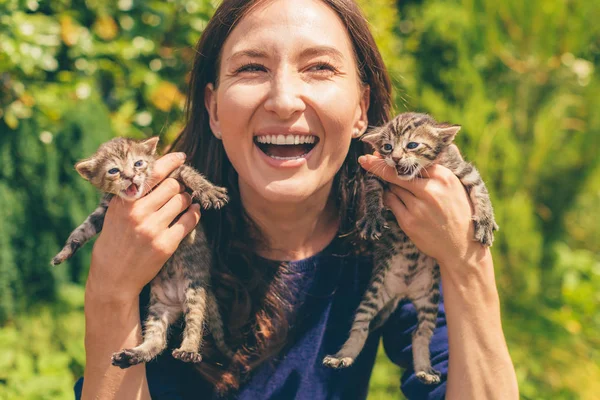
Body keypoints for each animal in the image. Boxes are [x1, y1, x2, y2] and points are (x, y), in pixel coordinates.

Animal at [52, 137, 234, 366]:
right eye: (114, 171)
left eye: (138, 163)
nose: (130, 176)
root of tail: (177, 300)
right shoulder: (103, 210)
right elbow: (82, 229)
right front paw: (64, 252)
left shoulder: (174, 174)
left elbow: (190, 174)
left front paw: (209, 191)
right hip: (159, 307)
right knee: (158, 340)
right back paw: (132, 354)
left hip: (194, 290)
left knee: (194, 323)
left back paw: (188, 349)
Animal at [324, 111, 496, 384]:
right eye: (387, 147)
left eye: (412, 145)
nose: (395, 158)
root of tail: (403, 291)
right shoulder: (376, 172)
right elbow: (372, 192)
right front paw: (372, 217)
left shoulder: (463, 169)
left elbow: (480, 191)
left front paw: (486, 222)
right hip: (376, 291)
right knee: (361, 326)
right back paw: (344, 356)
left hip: (429, 300)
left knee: (420, 334)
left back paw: (424, 369)